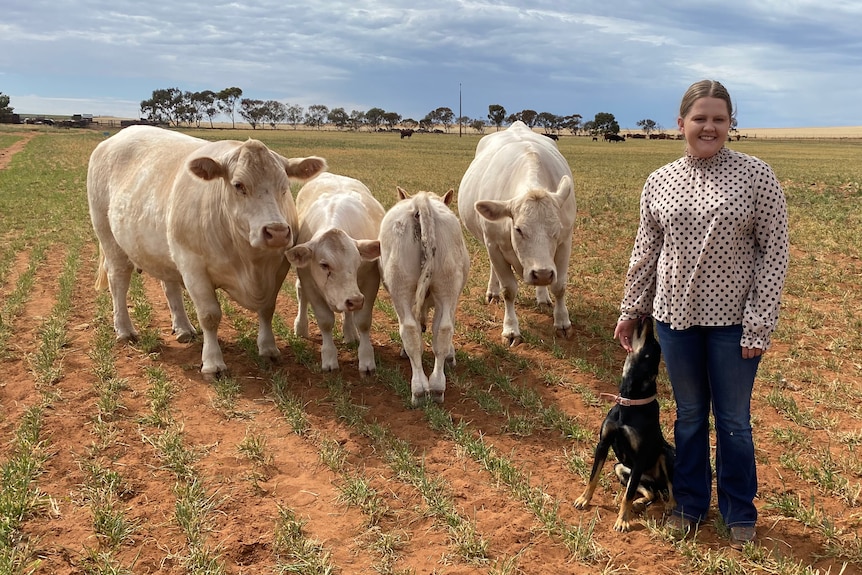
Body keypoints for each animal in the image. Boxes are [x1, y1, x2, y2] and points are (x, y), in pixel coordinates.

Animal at [88, 126, 328, 378]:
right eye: (238, 185)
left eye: (285, 185)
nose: (278, 232)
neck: (250, 261)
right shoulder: (193, 268)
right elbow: (210, 315)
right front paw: (213, 363)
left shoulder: (278, 268)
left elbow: (267, 309)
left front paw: (268, 348)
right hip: (109, 238)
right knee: (118, 281)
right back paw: (124, 329)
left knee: (170, 286)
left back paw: (183, 328)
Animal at [380, 188, 470, 404]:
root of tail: (420, 202)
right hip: (446, 284)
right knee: (443, 329)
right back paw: (435, 387)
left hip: (400, 285)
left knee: (410, 329)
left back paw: (421, 388)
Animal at [576, 318, 680, 532]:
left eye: (652, 344)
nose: (648, 317)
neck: (629, 401)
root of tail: (655, 481)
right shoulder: (603, 444)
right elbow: (593, 477)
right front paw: (584, 499)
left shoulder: (640, 458)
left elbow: (628, 495)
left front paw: (622, 520)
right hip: (622, 469)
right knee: (651, 492)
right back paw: (641, 503)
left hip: (665, 455)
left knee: (669, 486)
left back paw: (670, 504)